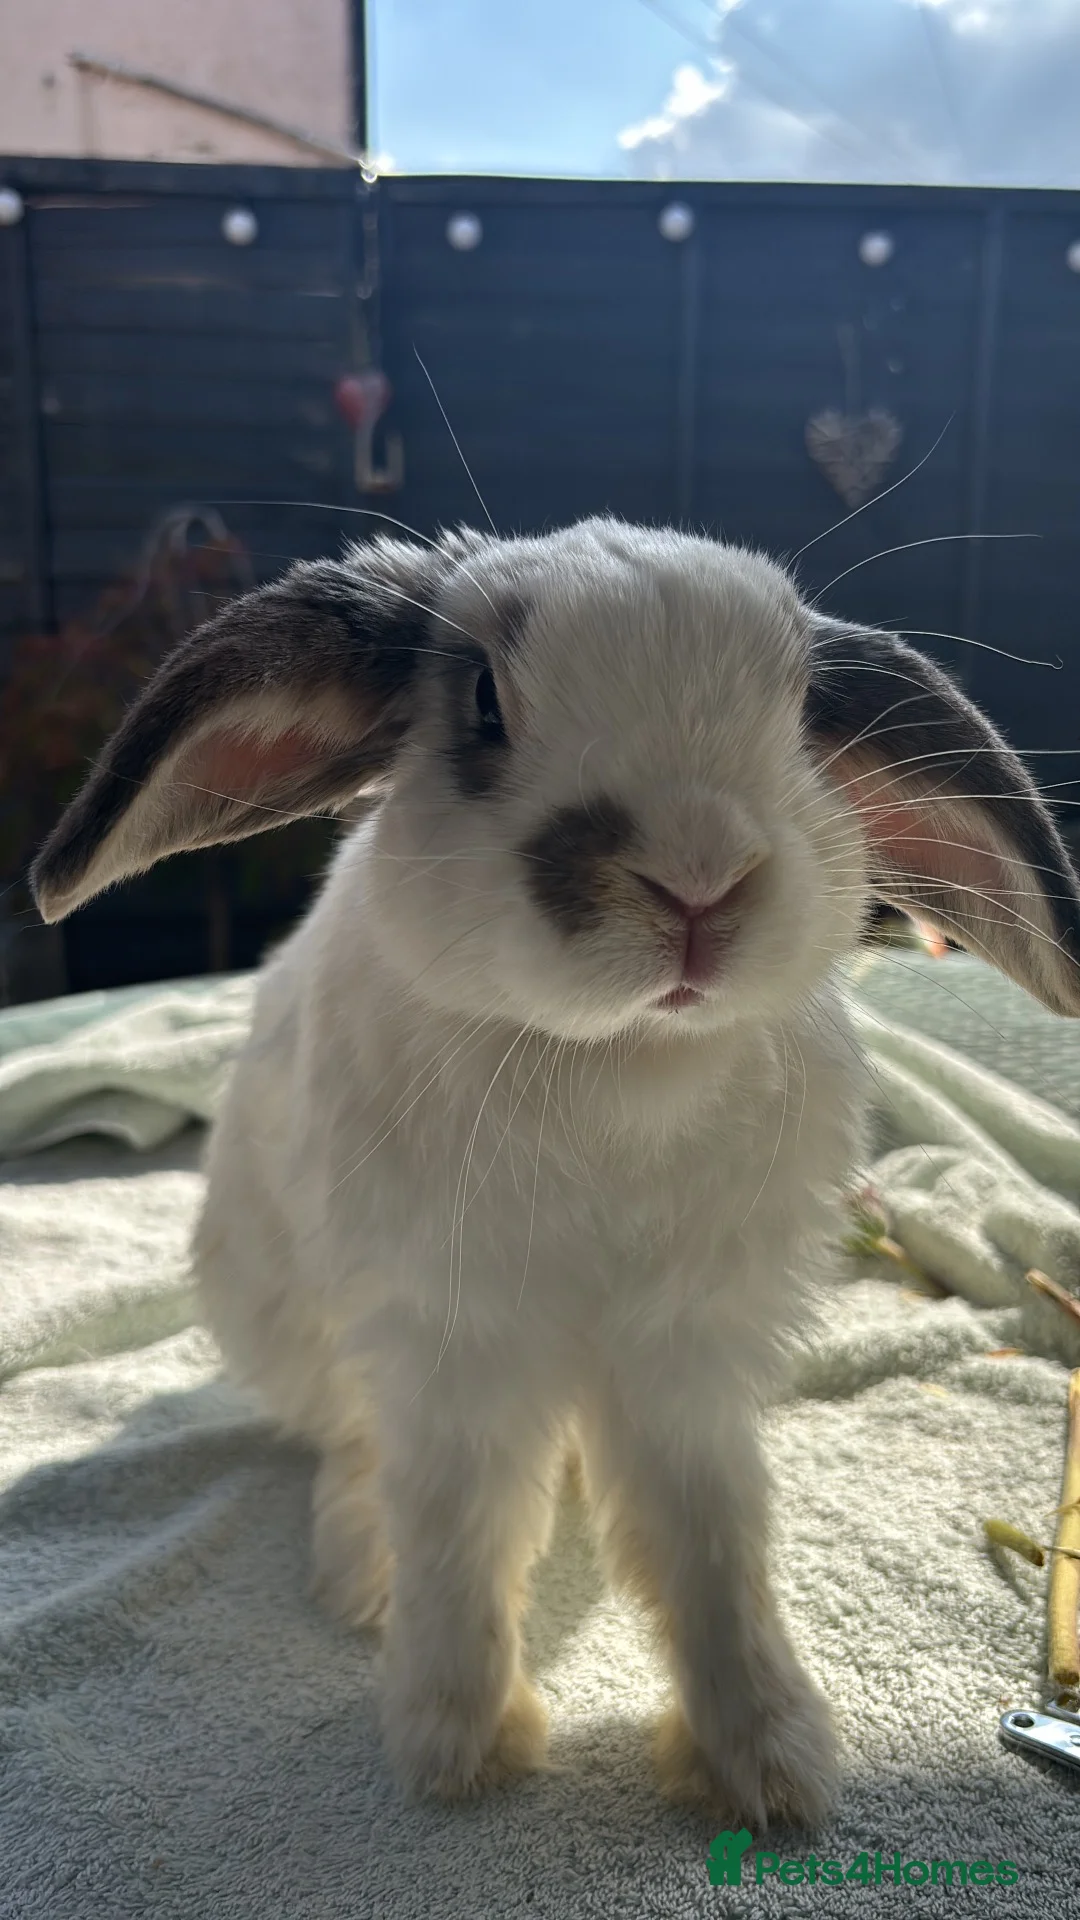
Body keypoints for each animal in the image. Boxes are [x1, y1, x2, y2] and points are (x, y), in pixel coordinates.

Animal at [30, 516, 1080, 1829]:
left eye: (801, 711)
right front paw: (456, 1747)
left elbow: (711, 1543)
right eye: (484, 698)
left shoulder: (685, 1360)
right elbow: (459, 1530)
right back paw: (359, 1575)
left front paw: (768, 1761)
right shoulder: (453, 1341)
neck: (612, 1060)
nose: (699, 875)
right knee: (353, 1445)